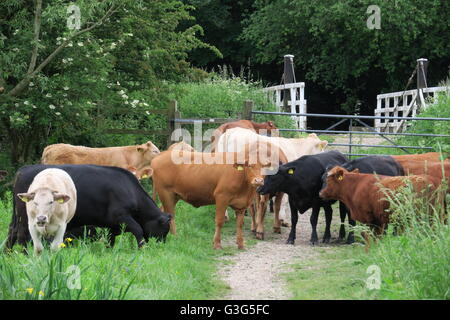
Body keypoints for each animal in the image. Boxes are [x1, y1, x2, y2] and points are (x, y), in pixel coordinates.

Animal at [7, 164, 172, 251]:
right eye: (164, 231)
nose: (161, 246)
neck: (129, 189)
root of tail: (24, 170)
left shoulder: (111, 225)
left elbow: (110, 239)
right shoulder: (122, 216)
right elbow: (138, 230)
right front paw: (141, 248)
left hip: (18, 217)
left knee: (12, 232)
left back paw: (8, 253)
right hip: (27, 218)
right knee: (22, 235)